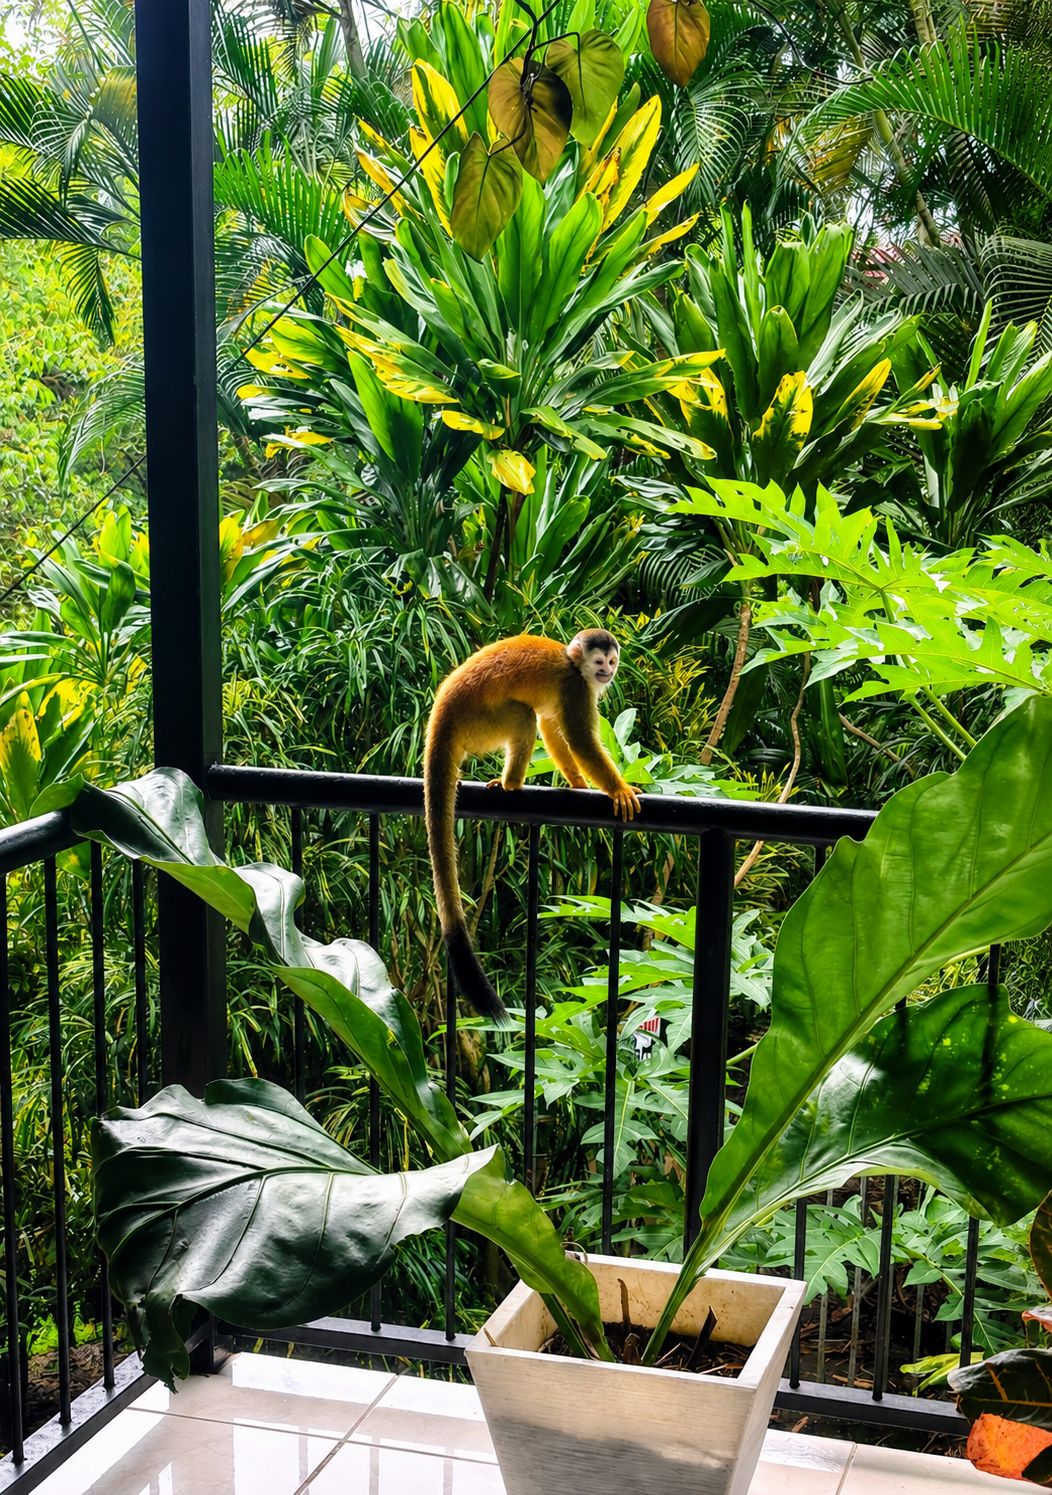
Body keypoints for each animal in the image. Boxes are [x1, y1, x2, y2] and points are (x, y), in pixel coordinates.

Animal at [424, 629, 642, 1021]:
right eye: (598, 662)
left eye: (612, 661)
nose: (606, 673)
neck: (574, 665)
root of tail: (442, 710)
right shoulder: (575, 687)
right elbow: (578, 739)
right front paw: (618, 789)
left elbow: (552, 727)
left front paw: (579, 783)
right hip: (481, 722)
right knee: (523, 717)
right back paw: (511, 784)